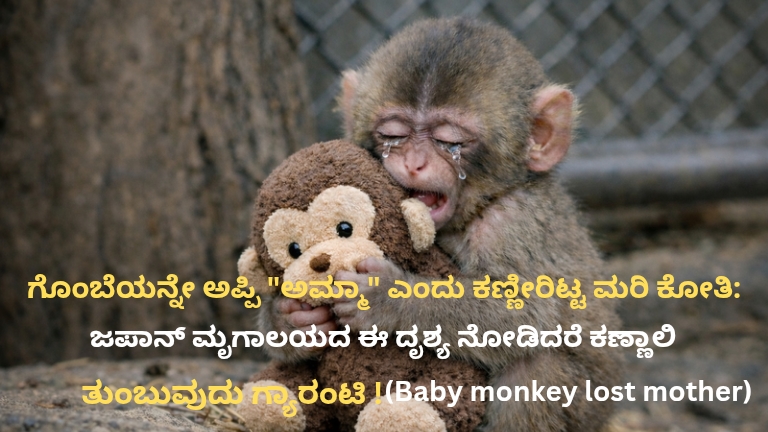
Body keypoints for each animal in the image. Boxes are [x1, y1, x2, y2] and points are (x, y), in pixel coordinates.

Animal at [325, 18, 624, 432]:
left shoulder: (510, 223)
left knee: (535, 368)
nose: (414, 162)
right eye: (394, 135)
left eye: (449, 141)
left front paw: (389, 298)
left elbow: (524, 312)